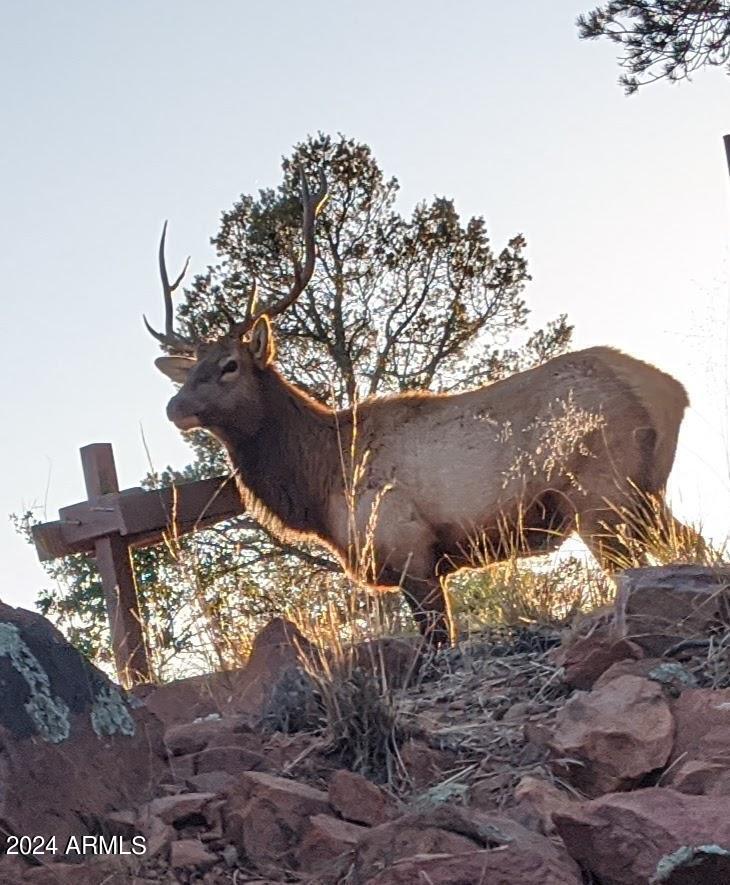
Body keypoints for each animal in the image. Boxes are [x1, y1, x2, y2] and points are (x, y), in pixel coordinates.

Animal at [148, 170, 690, 647]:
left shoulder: (411, 549)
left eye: (230, 365)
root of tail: (670, 390)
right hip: (643, 494)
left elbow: (439, 642)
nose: (175, 407)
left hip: (602, 494)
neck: (320, 481)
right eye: (192, 369)